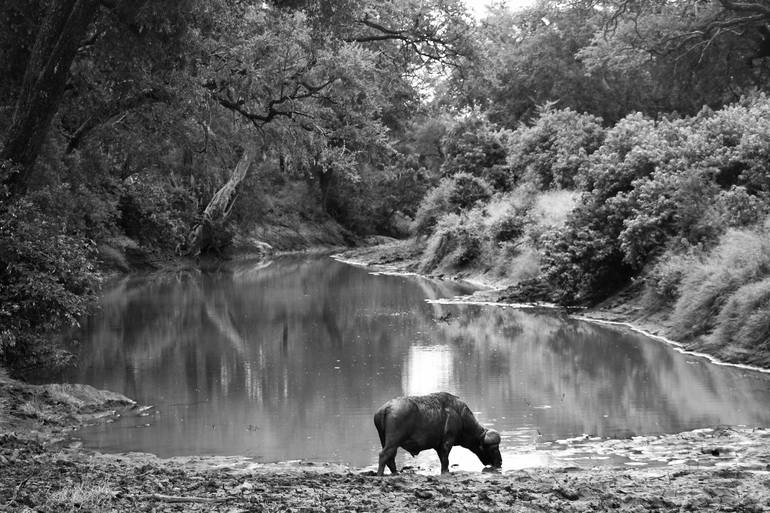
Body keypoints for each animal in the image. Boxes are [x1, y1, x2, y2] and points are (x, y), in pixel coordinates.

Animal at [370, 392, 498, 472]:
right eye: (494, 448)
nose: (500, 462)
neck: (460, 415)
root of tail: (386, 408)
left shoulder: (438, 446)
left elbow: (442, 460)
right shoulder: (447, 442)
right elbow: (445, 460)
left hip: (386, 440)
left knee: (390, 458)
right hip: (393, 441)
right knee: (384, 455)